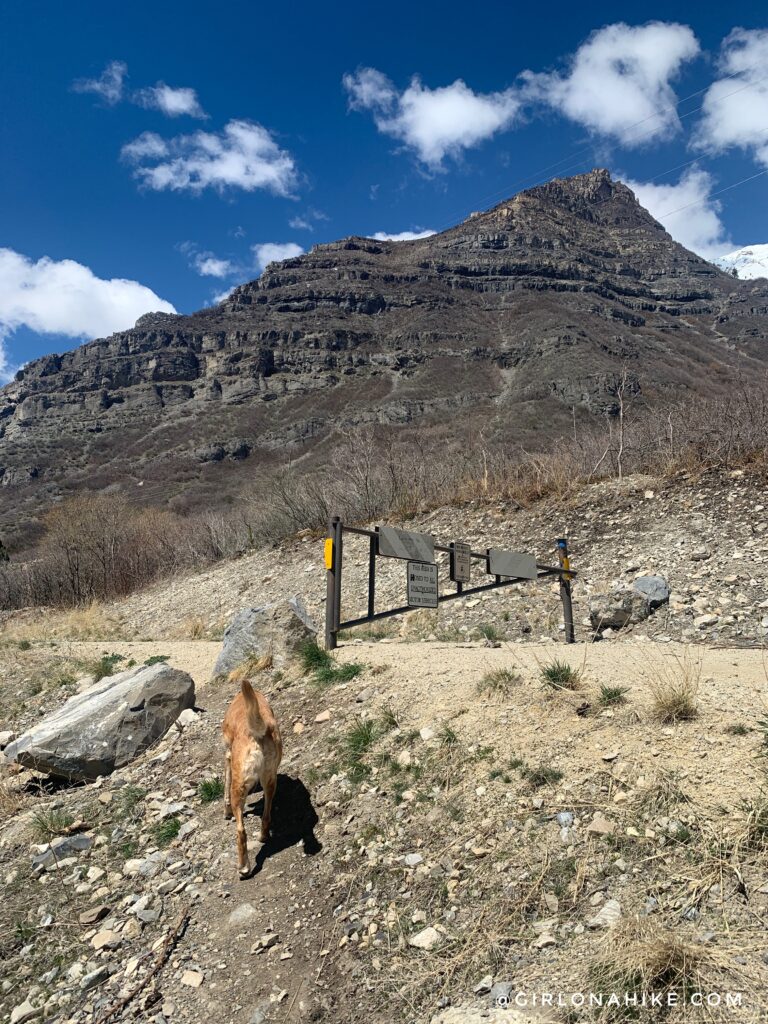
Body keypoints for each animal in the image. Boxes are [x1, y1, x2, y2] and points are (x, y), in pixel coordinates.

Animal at [222, 684, 282, 876]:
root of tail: (258, 733)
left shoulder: (228, 756)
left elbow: (225, 788)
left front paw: (226, 812)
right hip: (270, 780)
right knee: (266, 815)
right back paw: (264, 836)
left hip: (239, 787)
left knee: (241, 831)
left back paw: (244, 867)